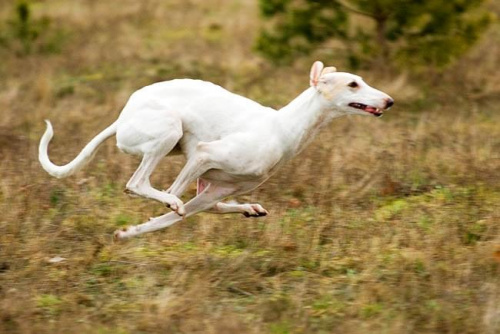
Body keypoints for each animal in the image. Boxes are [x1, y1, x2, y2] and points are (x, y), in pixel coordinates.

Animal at [39, 61, 392, 239]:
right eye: (353, 84)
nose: (389, 101)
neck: (283, 128)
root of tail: (122, 117)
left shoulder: (215, 187)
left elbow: (167, 221)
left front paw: (128, 233)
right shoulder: (204, 154)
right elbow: (172, 205)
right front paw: (163, 209)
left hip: (187, 161)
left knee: (199, 203)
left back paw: (249, 208)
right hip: (170, 132)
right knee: (138, 184)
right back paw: (173, 200)